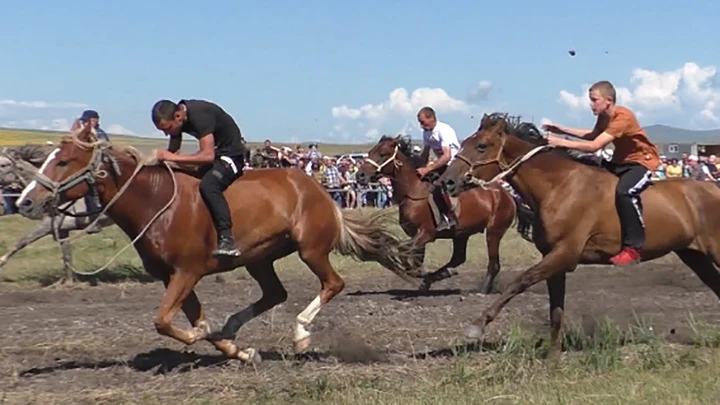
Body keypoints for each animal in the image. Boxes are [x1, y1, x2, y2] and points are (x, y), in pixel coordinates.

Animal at [0, 144, 114, 282]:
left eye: (3, 165)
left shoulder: (47, 226)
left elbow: (22, 241)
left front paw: (1, 261)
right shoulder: (62, 231)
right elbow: (67, 256)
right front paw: (69, 282)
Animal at [14, 124, 422, 362]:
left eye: (63, 161)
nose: (24, 202)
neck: (156, 203)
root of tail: (321, 191)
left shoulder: (187, 272)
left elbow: (164, 321)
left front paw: (204, 335)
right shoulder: (173, 277)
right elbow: (189, 318)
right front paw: (233, 347)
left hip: (311, 249)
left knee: (333, 284)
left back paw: (300, 335)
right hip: (259, 258)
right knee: (275, 294)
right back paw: (232, 329)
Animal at [356, 134, 516, 292]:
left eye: (383, 154)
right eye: (370, 152)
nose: (360, 176)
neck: (413, 192)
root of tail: (507, 195)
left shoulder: (426, 233)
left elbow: (405, 251)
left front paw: (419, 273)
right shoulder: (416, 234)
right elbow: (414, 259)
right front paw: (424, 276)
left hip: (494, 232)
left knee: (494, 264)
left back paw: (483, 289)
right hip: (461, 234)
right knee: (458, 258)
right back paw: (444, 273)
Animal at [436, 112, 720, 356]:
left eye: (482, 146)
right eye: (466, 142)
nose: (446, 182)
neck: (560, 186)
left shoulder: (565, 254)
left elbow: (520, 281)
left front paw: (477, 324)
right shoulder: (554, 259)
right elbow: (555, 311)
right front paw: (553, 356)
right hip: (694, 256)